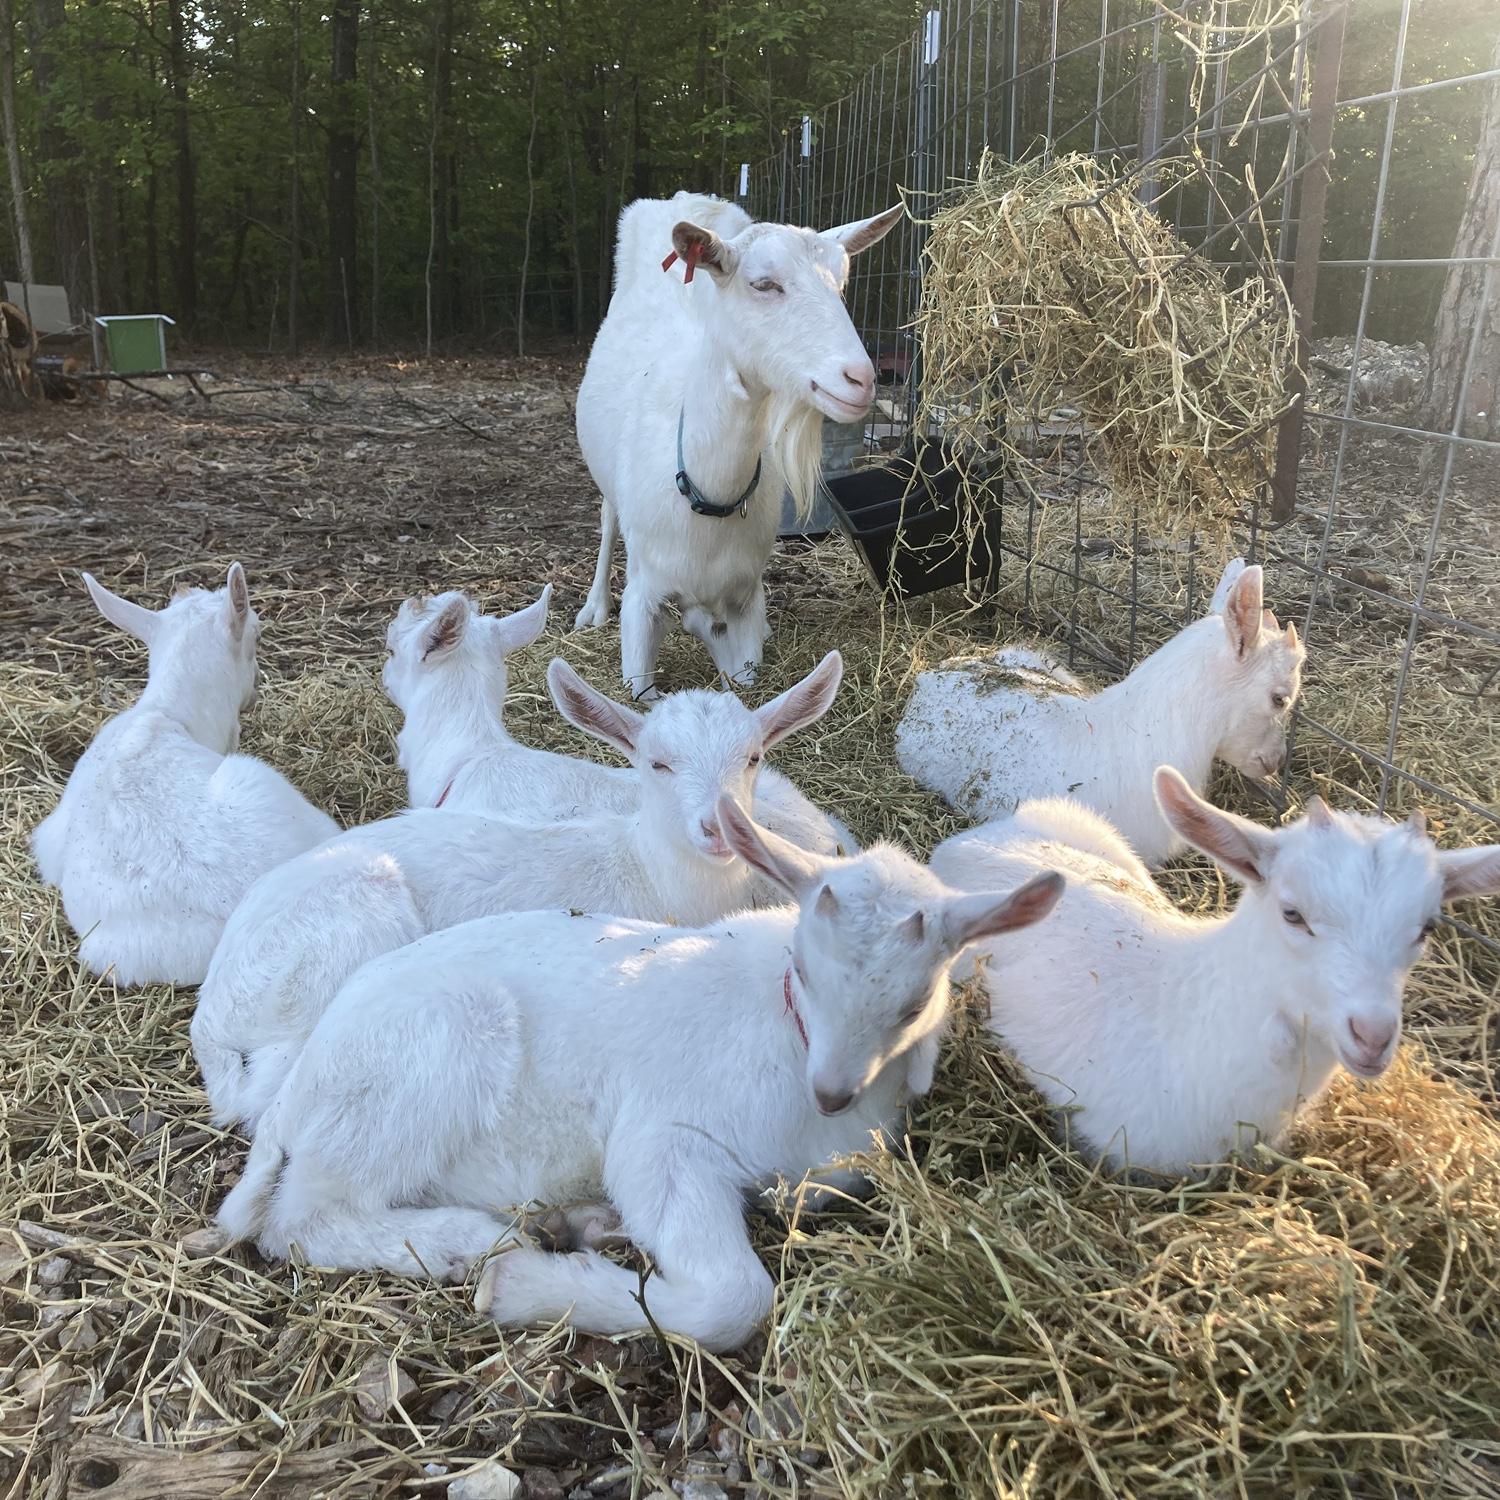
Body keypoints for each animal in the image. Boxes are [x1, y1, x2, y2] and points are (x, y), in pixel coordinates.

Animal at [214, 795, 1064, 1350]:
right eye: (801, 968)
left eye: (917, 999)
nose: (832, 1091)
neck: (785, 1037)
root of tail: (299, 1086)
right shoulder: (665, 1140)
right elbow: (733, 1300)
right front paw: (527, 1288)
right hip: (426, 1060)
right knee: (302, 1220)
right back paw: (475, 1244)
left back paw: (574, 1221)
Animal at [573, 191, 903, 700]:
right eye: (763, 284)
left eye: (842, 283)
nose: (861, 379)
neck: (709, 498)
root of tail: (688, 200)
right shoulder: (644, 596)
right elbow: (641, 693)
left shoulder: (745, 596)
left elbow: (746, 680)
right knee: (608, 517)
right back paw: (593, 607)